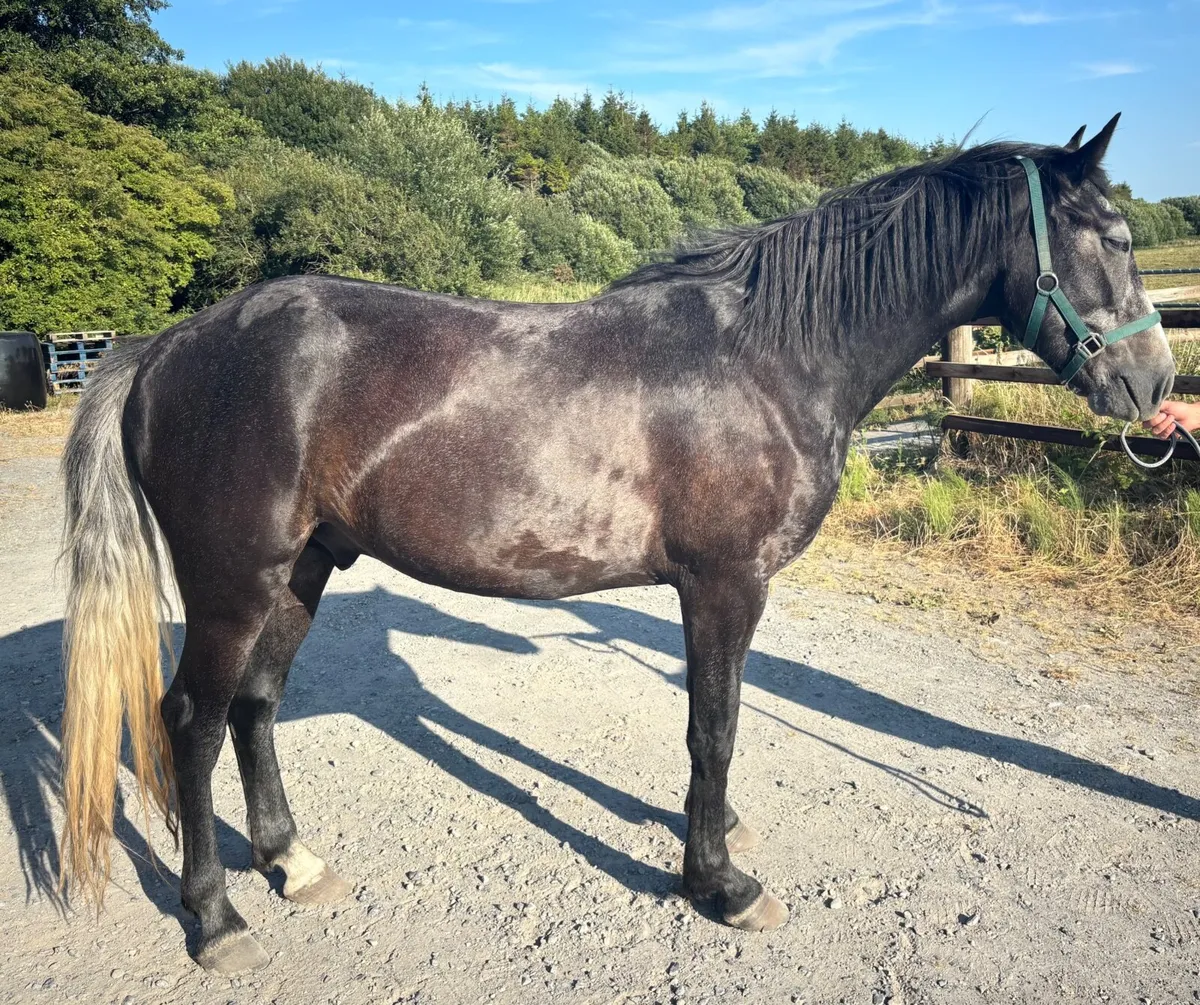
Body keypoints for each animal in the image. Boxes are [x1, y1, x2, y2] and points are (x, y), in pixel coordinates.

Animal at [58, 114, 1173, 974]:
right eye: (1115, 237)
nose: (1154, 388)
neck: (770, 355)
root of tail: (167, 346)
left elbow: (714, 726)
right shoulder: (724, 585)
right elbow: (714, 728)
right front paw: (720, 883)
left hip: (303, 569)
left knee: (255, 706)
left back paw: (292, 863)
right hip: (234, 584)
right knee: (192, 723)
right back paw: (215, 920)